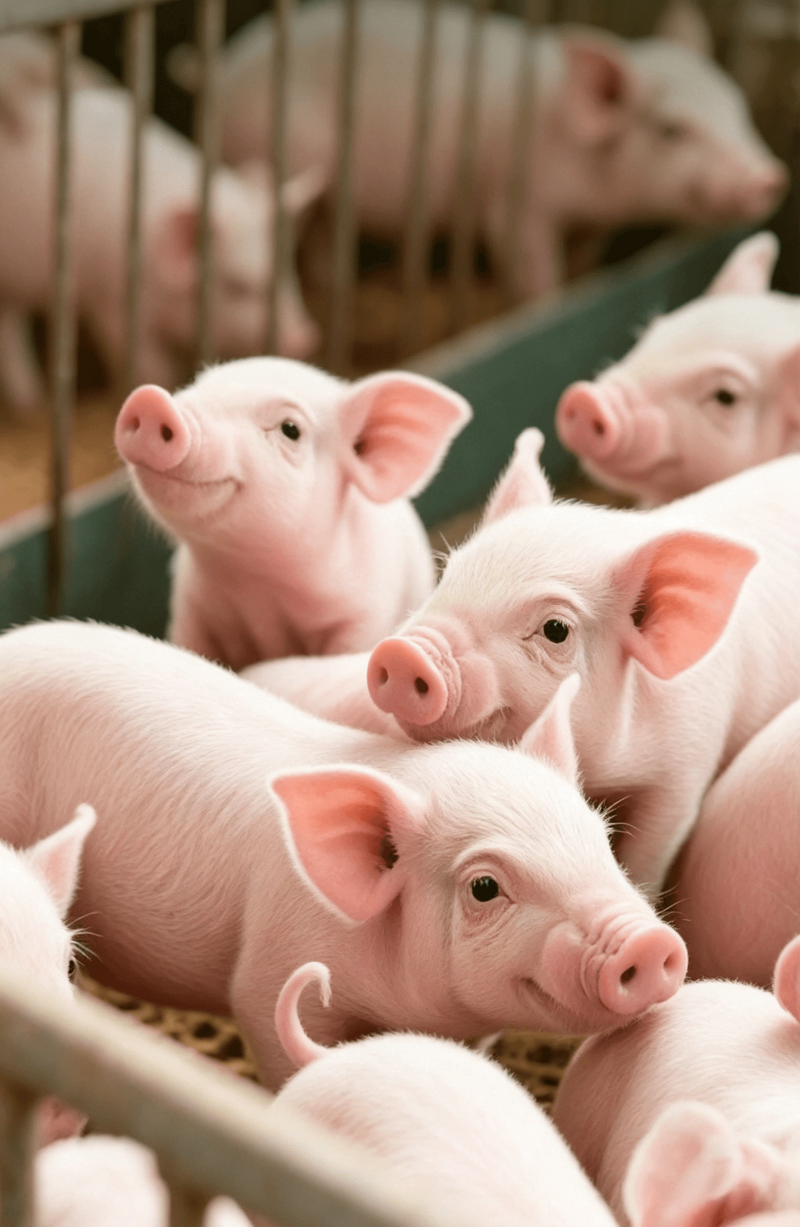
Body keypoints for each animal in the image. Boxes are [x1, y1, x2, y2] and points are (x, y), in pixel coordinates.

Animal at [0, 82, 321, 415]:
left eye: (289, 267)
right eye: (237, 285)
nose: (305, 338)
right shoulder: (112, 303)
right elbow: (152, 366)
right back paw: (30, 403)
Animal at [115, 358, 471, 668]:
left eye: (290, 429)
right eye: (196, 385)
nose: (151, 400)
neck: (255, 581)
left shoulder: (363, 617)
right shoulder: (190, 609)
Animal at [177, 0, 786, 300]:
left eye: (737, 104)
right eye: (671, 130)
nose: (769, 176)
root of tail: (221, 71)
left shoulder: (591, 224)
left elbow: (584, 260)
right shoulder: (518, 204)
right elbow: (533, 265)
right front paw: (544, 303)